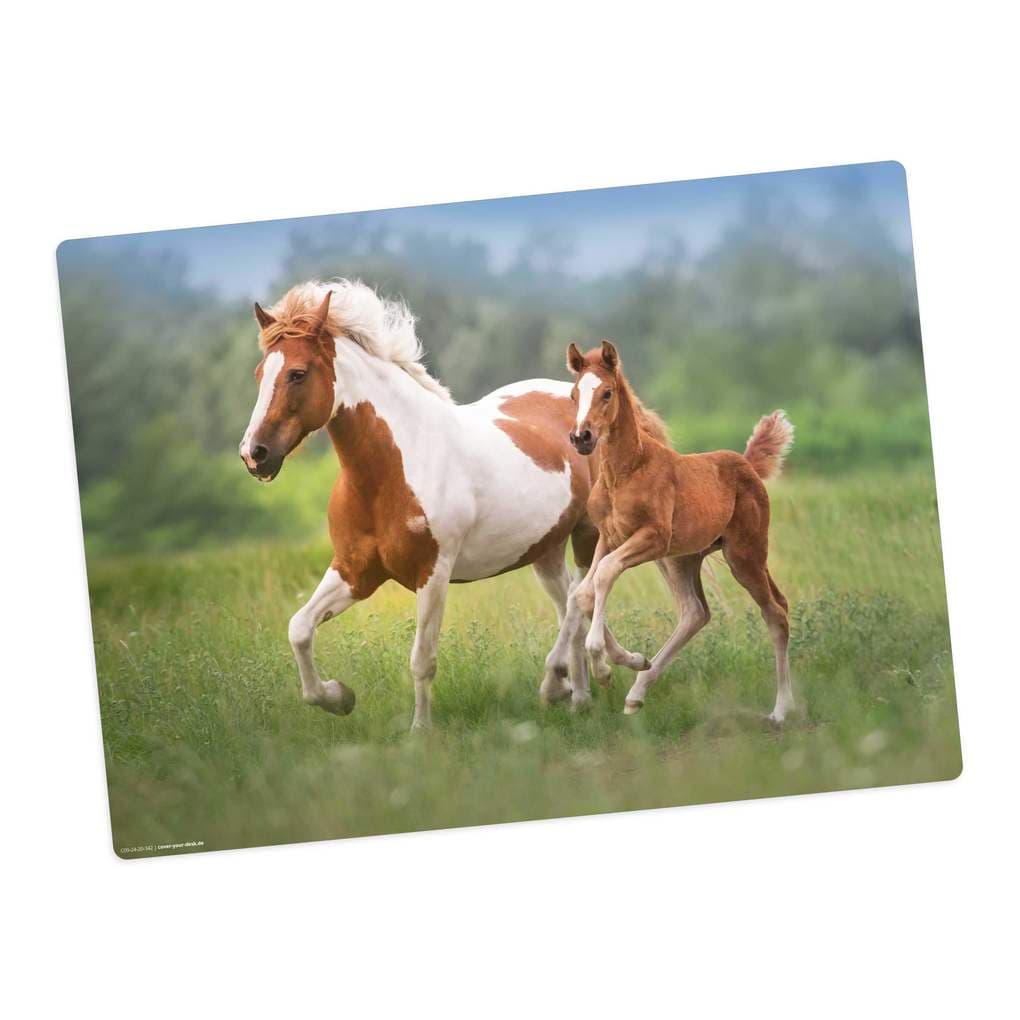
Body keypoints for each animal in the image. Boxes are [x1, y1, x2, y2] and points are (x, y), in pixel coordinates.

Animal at [238, 279, 645, 729]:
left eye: (297, 373)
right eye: (259, 374)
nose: (254, 454)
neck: (394, 469)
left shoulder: (432, 573)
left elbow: (422, 659)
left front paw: (421, 731)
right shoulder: (354, 571)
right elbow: (299, 628)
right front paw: (338, 696)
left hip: (586, 534)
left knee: (579, 599)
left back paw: (564, 682)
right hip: (546, 549)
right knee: (570, 603)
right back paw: (584, 693)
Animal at [547, 339, 796, 723]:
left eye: (607, 392)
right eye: (574, 394)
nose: (581, 437)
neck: (626, 471)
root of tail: (748, 466)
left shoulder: (652, 537)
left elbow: (603, 575)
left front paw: (601, 662)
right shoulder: (610, 537)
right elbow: (583, 592)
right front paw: (626, 661)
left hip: (744, 555)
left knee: (776, 612)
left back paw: (781, 709)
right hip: (683, 558)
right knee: (696, 613)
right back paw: (636, 694)